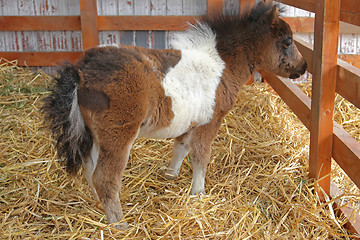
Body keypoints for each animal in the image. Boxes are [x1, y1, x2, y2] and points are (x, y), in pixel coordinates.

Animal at [42, 2, 306, 231]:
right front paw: (198, 193)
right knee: (104, 178)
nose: (303, 67)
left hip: (96, 136)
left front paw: (170, 175)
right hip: (118, 136)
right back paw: (120, 225)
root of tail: (80, 71)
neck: (221, 63)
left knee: (89, 169)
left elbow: (181, 147)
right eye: (287, 41)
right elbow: (201, 156)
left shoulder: (191, 122)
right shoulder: (211, 121)